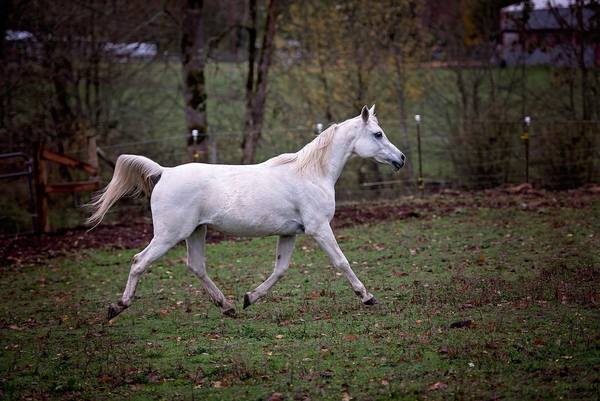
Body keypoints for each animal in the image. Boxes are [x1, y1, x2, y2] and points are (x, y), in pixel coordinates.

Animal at [89, 105, 406, 318]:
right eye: (378, 134)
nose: (401, 159)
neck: (311, 174)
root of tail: (164, 172)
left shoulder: (290, 233)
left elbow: (280, 269)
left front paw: (249, 297)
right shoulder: (319, 228)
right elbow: (341, 262)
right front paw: (367, 297)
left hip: (196, 232)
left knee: (197, 266)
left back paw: (227, 306)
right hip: (169, 235)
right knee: (139, 261)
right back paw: (118, 306)